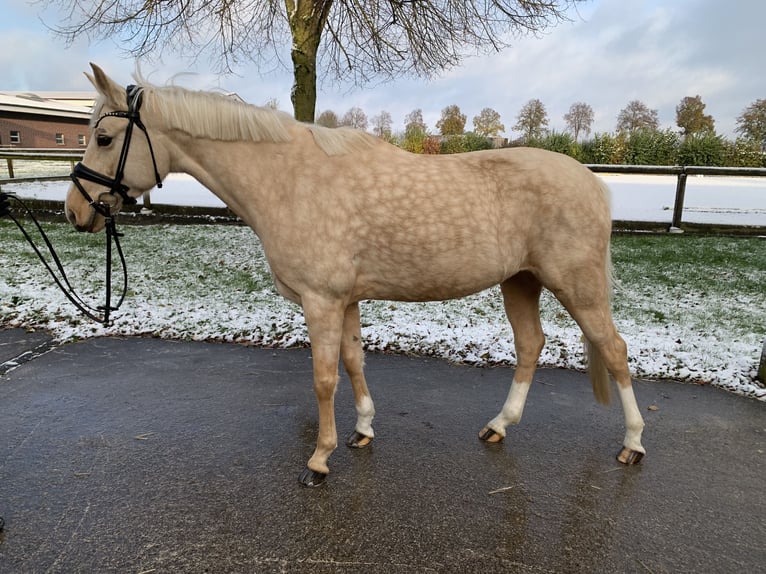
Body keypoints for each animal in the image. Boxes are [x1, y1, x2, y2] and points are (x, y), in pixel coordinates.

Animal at [67, 62, 648, 486]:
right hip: (520, 281)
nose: (75, 212)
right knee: (531, 345)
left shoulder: (321, 300)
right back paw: (499, 426)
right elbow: (353, 363)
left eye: (104, 137)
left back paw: (633, 444)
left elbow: (324, 378)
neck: (291, 180)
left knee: (614, 350)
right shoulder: (344, 299)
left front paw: (319, 460)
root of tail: (592, 182)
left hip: (577, 287)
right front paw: (363, 431)